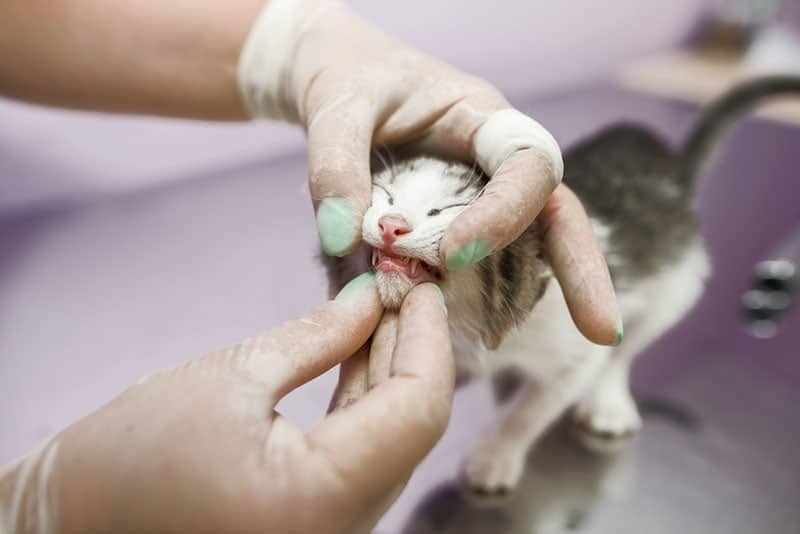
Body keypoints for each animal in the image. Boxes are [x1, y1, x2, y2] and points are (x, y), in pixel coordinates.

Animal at [324, 76, 800, 498]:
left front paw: (495, 457)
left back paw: (608, 402)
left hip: (679, 284)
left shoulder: (576, 348)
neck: (468, 323)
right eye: (385, 196)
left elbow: (534, 408)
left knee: (626, 350)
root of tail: (675, 174)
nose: (391, 224)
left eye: (444, 211)